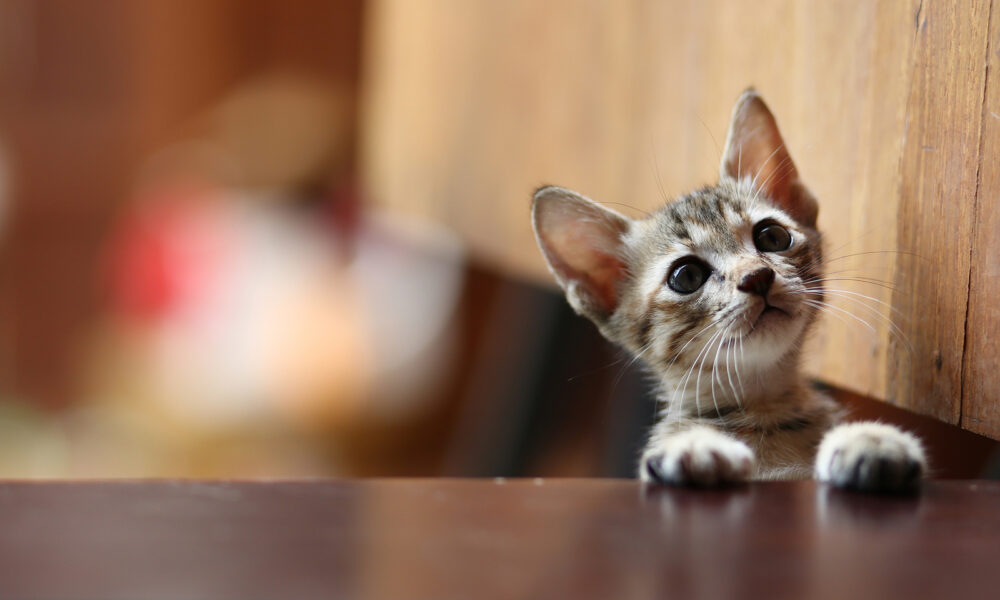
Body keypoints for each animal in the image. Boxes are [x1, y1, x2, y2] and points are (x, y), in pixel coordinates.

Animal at [536, 89, 924, 492]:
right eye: (687, 276)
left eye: (772, 237)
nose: (757, 277)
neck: (761, 406)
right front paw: (692, 446)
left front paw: (870, 440)